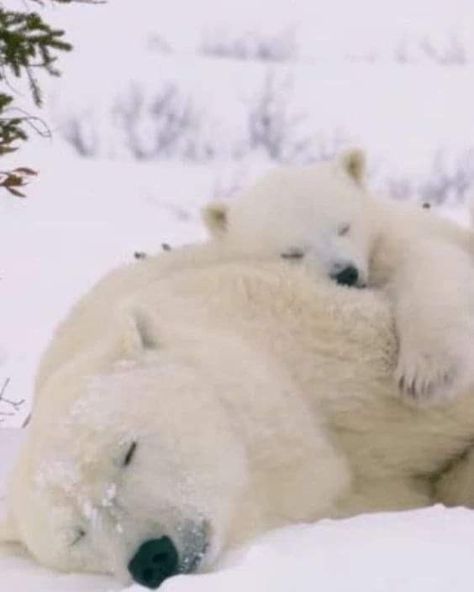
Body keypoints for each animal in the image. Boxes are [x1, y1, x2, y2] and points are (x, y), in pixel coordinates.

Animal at [205, 150, 474, 404]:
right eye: (292, 253)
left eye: (344, 227)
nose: (346, 274)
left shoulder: (395, 239)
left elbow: (428, 264)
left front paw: (426, 375)